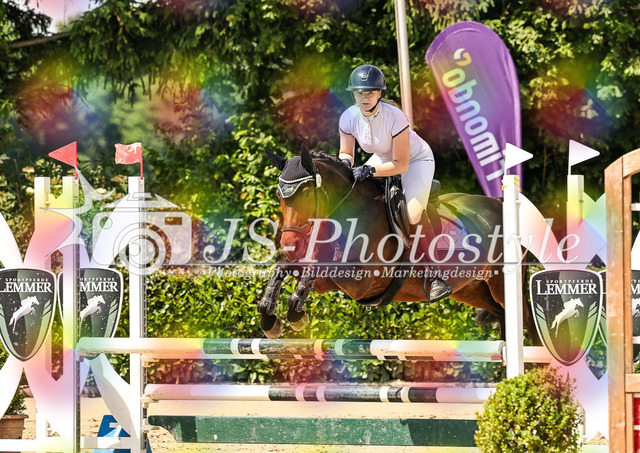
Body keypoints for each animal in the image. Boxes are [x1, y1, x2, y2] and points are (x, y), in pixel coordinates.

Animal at [258, 146, 539, 344]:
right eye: (278, 195)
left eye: (306, 193)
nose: (289, 244)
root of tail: (499, 203)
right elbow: (284, 268)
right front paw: (269, 317)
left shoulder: (357, 282)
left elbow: (313, 273)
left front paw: (295, 315)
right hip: (471, 290)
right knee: (502, 315)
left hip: (500, 283)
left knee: (527, 322)